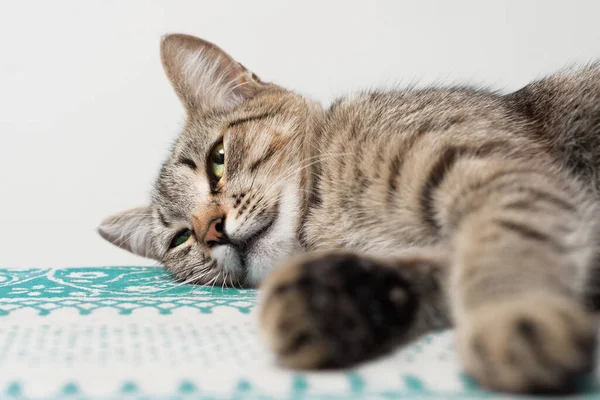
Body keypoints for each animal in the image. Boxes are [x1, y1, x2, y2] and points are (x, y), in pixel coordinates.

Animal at [98, 33, 600, 394]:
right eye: (181, 238)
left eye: (217, 160)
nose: (211, 231)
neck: (329, 211)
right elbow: (434, 273)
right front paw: (333, 297)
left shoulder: (496, 170)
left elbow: (501, 249)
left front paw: (514, 314)